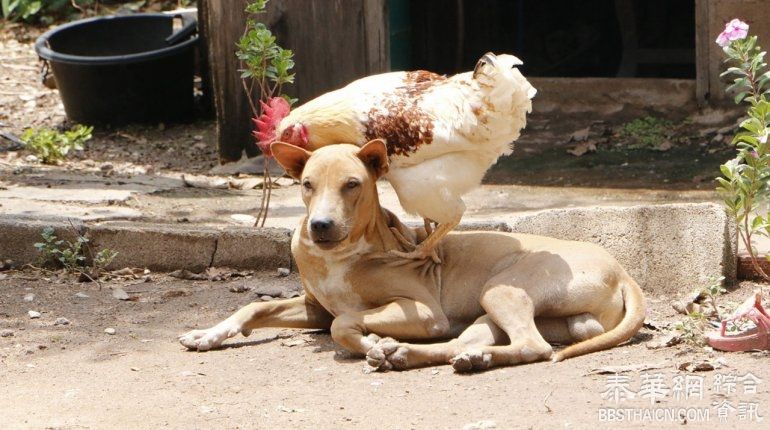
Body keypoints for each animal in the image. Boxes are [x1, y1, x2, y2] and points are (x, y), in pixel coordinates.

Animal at [178, 139, 640, 372]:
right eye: (307, 184)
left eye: (352, 184)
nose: (320, 225)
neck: (342, 254)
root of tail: (623, 271)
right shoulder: (315, 308)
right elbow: (253, 307)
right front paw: (209, 334)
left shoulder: (424, 311)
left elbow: (345, 323)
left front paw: (366, 341)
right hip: (496, 313)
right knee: (464, 344)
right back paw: (430, 355)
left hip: (501, 290)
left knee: (533, 346)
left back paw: (405, 351)